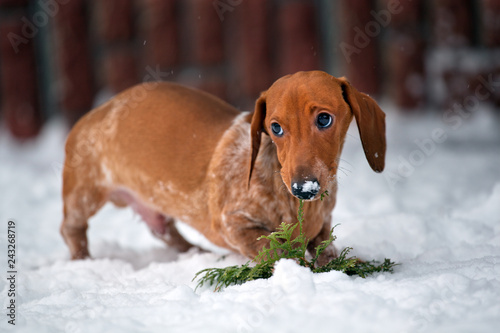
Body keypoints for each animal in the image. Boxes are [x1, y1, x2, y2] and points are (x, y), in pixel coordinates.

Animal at [59, 70, 386, 264]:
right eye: (275, 128)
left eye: (324, 119)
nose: (303, 188)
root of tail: (98, 110)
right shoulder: (232, 223)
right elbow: (273, 249)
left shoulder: (324, 223)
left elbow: (324, 246)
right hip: (83, 194)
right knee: (72, 229)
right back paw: (83, 261)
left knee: (164, 231)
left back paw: (195, 253)